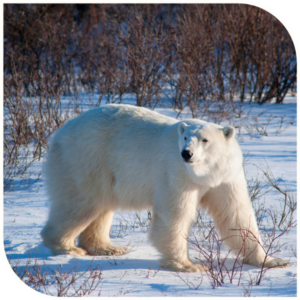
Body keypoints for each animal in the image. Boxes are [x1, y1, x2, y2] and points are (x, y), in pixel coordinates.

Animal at [41, 103, 288, 272]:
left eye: (205, 140)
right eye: (186, 137)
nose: (186, 154)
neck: (204, 174)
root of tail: (60, 132)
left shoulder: (226, 177)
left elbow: (236, 214)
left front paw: (272, 260)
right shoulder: (176, 173)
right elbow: (174, 215)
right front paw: (189, 265)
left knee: (101, 206)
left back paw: (107, 247)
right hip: (86, 159)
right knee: (80, 203)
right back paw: (68, 247)